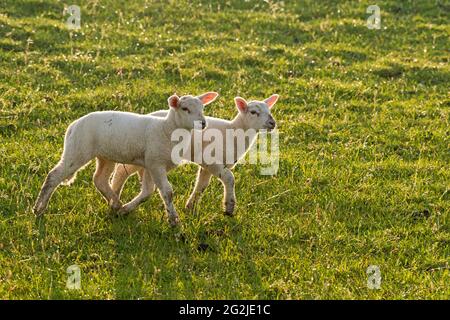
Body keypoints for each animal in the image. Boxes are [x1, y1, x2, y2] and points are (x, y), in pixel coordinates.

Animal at [32, 91, 219, 225]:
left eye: (203, 108)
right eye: (185, 109)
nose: (203, 123)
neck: (166, 129)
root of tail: (73, 125)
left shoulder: (150, 164)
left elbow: (147, 192)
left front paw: (126, 210)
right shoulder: (156, 163)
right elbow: (167, 192)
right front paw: (174, 221)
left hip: (105, 156)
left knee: (99, 179)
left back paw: (115, 204)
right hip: (77, 150)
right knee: (54, 176)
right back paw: (38, 209)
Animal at [109, 94, 278, 216]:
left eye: (269, 111)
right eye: (254, 112)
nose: (272, 123)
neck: (233, 132)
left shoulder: (207, 166)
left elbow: (201, 185)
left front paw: (190, 206)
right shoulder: (211, 160)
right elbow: (229, 178)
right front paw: (229, 207)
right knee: (121, 170)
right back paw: (115, 198)